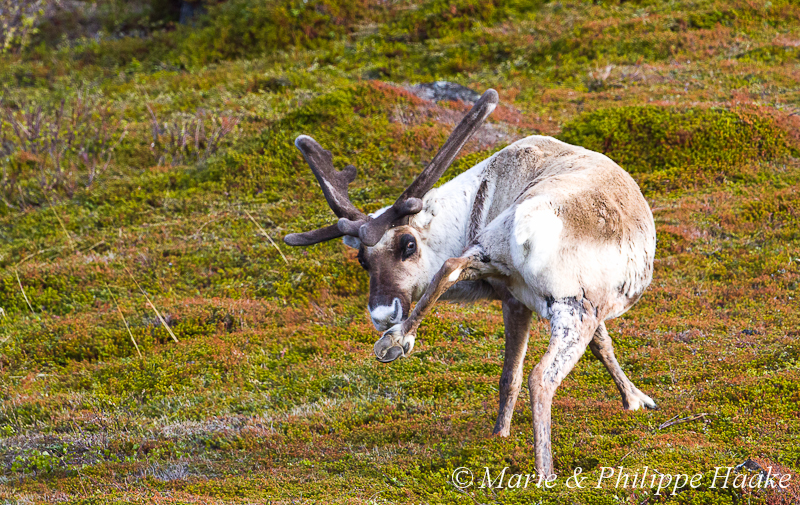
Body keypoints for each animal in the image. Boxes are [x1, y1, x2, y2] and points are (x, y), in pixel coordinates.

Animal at [283, 89, 658, 477]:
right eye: (363, 259)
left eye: (408, 245)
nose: (382, 313)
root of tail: (525, 223)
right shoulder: (566, 301)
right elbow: (595, 348)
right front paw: (635, 400)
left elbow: (591, 349)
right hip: (572, 307)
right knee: (541, 377)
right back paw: (545, 470)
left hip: (493, 251)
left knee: (451, 266)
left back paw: (396, 342)